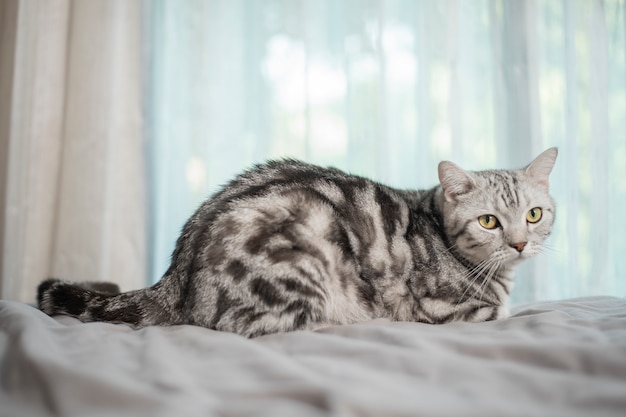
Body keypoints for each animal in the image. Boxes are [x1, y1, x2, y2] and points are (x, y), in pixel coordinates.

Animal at [37, 148, 556, 336]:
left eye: (534, 215)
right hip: (303, 250)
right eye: (488, 222)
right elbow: (501, 312)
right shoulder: (451, 310)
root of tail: (174, 278)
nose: (518, 244)